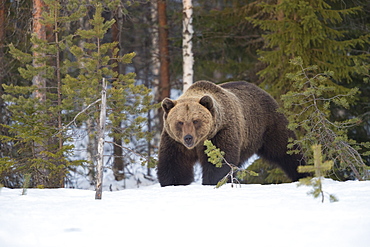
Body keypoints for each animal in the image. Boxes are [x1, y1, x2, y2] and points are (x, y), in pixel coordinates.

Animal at [157, 80, 306, 186]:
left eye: (195, 121)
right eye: (180, 122)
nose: (188, 138)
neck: (200, 142)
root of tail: (262, 89)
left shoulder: (221, 133)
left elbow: (219, 163)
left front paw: (213, 181)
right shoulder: (175, 141)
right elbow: (174, 164)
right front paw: (172, 183)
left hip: (268, 125)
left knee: (286, 149)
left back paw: (303, 173)